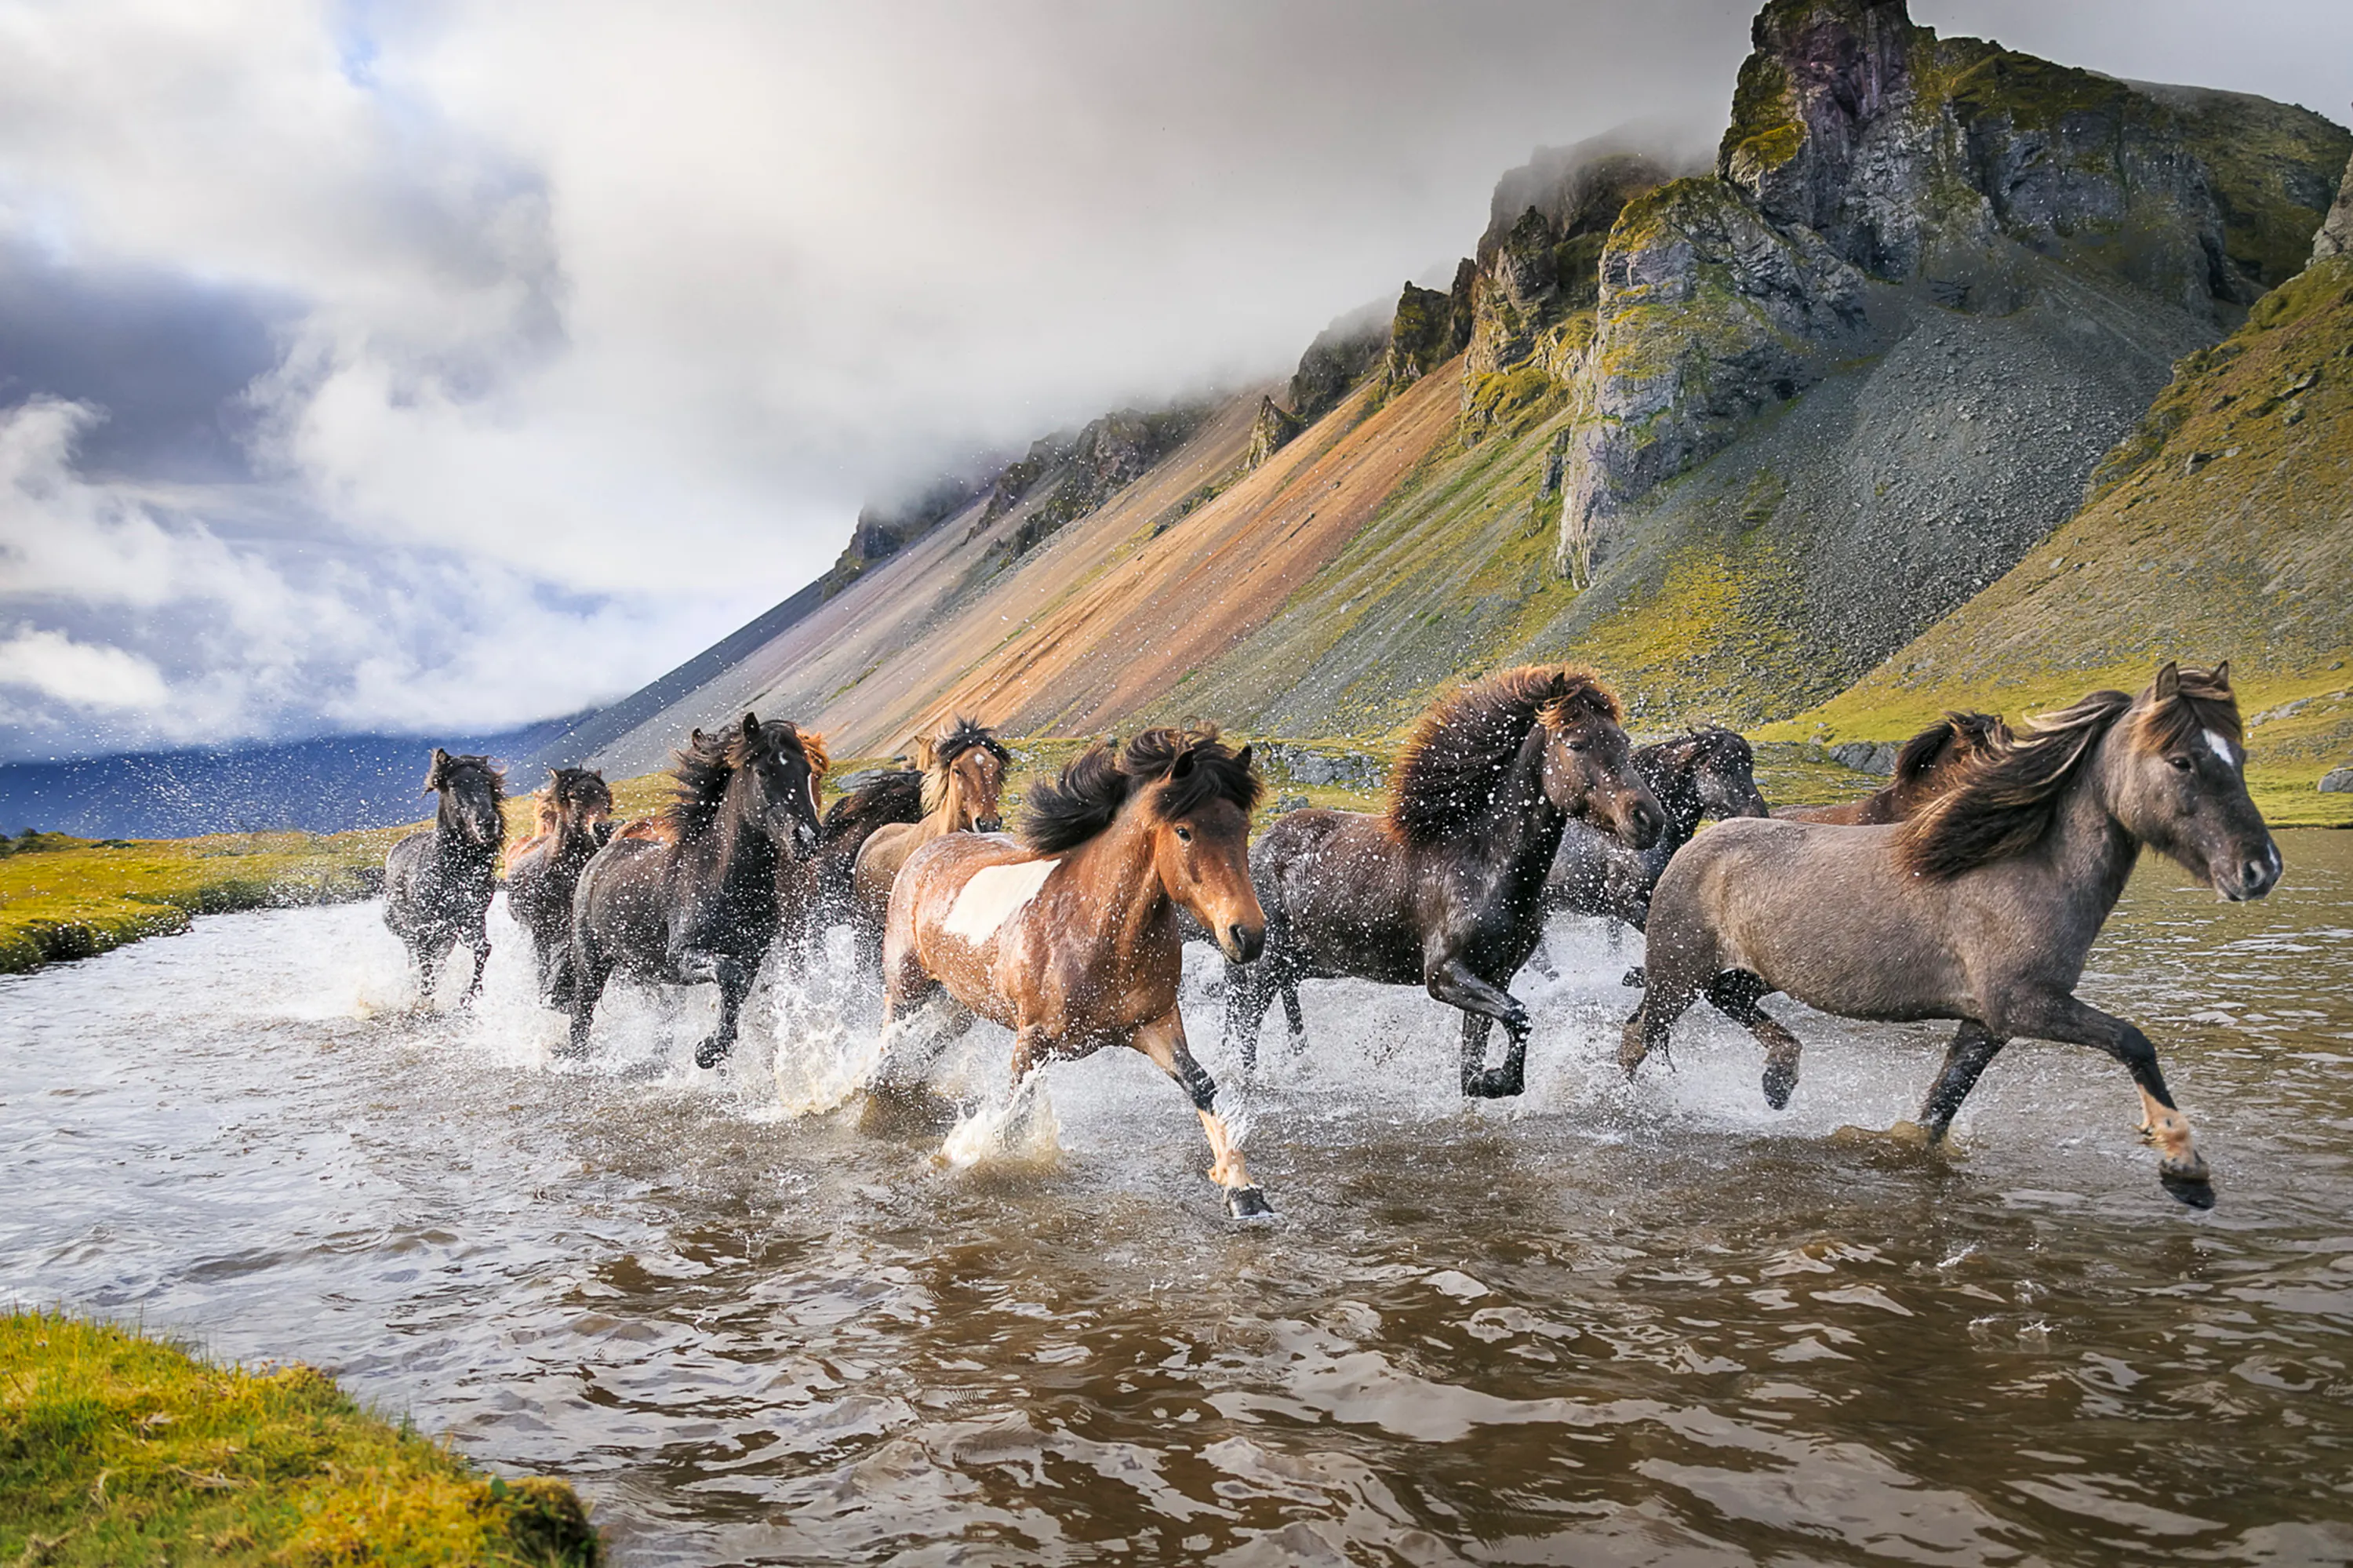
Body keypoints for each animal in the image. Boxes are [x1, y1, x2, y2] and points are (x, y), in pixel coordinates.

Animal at [383, 749, 506, 1007]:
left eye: (487, 782)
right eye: (453, 784)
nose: (488, 823)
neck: (452, 872)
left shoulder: (471, 918)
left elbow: (483, 948)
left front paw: (469, 995)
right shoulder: (425, 929)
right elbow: (426, 970)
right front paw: (424, 1003)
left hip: (446, 936)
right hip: (409, 932)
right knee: (417, 962)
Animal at [568, 715, 828, 1067]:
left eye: (807, 769)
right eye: (763, 771)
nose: (807, 837)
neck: (718, 878)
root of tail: (599, 857)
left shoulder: (752, 955)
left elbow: (736, 993)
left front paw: (713, 1050)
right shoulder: (681, 956)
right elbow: (730, 975)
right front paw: (707, 1051)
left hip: (640, 969)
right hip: (592, 962)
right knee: (581, 1019)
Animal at [880, 727, 1272, 1218]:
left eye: (1243, 828)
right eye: (1184, 831)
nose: (1249, 935)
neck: (1095, 929)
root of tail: (926, 852)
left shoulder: (1156, 1023)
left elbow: (1201, 1085)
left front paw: (1243, 1191)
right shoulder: (1031, 1042)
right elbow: (1012, 1113)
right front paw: (977, 1162)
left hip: (961, 1005)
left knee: (927, 1047)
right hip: (907, 989)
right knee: (888, 1039)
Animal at [1223, 665, 1665, 1098]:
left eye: (1623, 740)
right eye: (1576, 744)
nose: (1648, 819)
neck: (1479, 863)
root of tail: (1260, 848)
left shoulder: (1494, 976)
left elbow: (1475, 1055)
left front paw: (1483, 1083)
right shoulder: (1443, 975)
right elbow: (1519, 1016)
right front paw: (1497, 1081)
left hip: (1297, 965)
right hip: (1266, 967)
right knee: (1246, 1026)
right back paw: (1245, 1085)